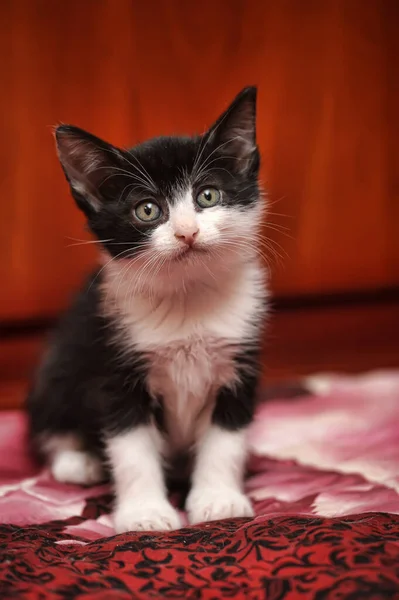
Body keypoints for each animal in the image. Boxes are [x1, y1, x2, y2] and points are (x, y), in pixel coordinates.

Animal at [26, 86, 268, 532]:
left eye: (208, 195)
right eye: (147, 209)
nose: (187, 232)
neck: (187, 299)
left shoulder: (241, 359)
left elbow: (226, 438)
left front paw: (218, 499)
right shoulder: (113, 365)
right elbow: (131, 449)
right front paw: (145, 514)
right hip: (60, 360)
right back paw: (77, 461)